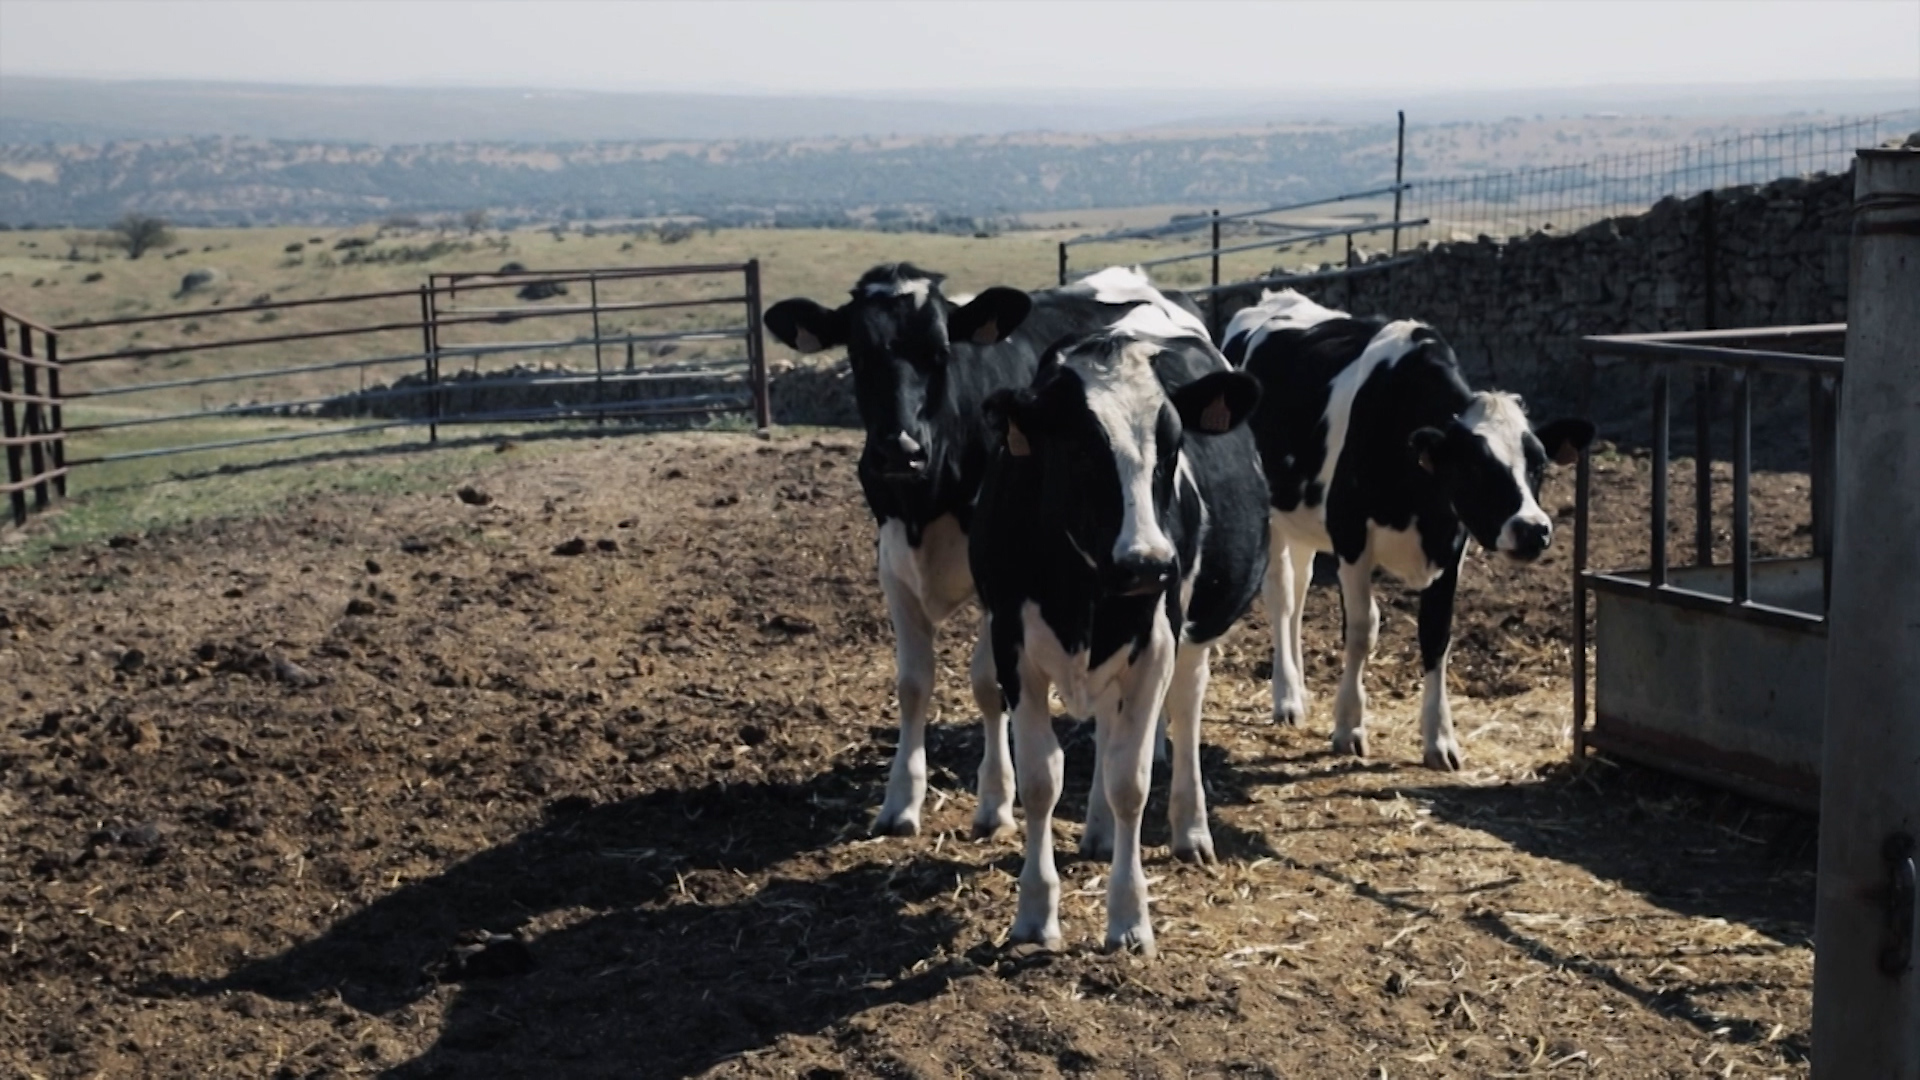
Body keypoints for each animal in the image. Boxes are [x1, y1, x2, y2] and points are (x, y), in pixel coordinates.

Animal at [764, 264, 1210, 839]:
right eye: (858, 355)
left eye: (940, 352)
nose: (899, 451)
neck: (927, 499)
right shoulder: (893, 564)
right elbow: (913, 684)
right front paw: (901, 800)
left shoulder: (996, 588)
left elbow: (986, 683)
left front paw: (996, 800)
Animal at [971, 311, 1268, 956]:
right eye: (1080, 447)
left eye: (1172, 446)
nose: (1148, 563)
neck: (1084, 589)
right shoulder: (1012, 645)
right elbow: (1041, 780)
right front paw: (1035, 914)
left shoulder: (1155, 645)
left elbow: (1130, 781)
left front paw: (1130, 919)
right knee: (1107, 731)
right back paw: (1100, 833)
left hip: (1190, 637)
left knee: (1183, 710)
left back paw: (1190, 829)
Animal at [1222, 289, 1594, 771]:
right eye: (1474, 468)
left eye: (1540, 465)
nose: (1533, 529)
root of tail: (1274, 298)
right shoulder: (1351, 534)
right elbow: (1362, 629)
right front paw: (1348, 728)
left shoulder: (1451, 543)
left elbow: (1436, 633)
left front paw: (1440, 740)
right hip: (1272, 513)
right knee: (1281, 597)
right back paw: (1286, 699)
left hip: (1304, 520)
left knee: (1299, 594)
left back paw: (1299, 690)